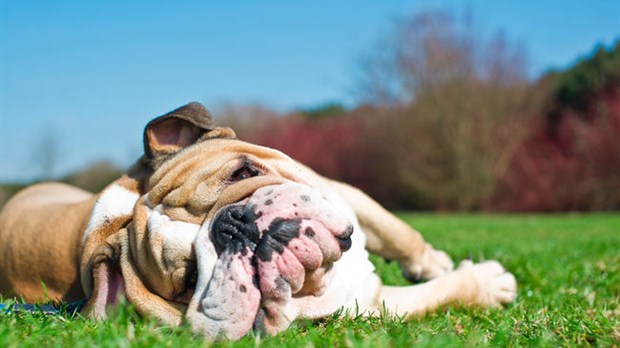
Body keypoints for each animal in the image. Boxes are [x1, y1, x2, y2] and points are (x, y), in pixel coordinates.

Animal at [0, 102, 516, 340]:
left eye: (244, 173)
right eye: (189, 279)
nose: (235, 225)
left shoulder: (343, 194)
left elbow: (399, 231)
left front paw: (432, 261)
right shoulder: (368, 302)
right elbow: (439, 294)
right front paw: (487, 284)